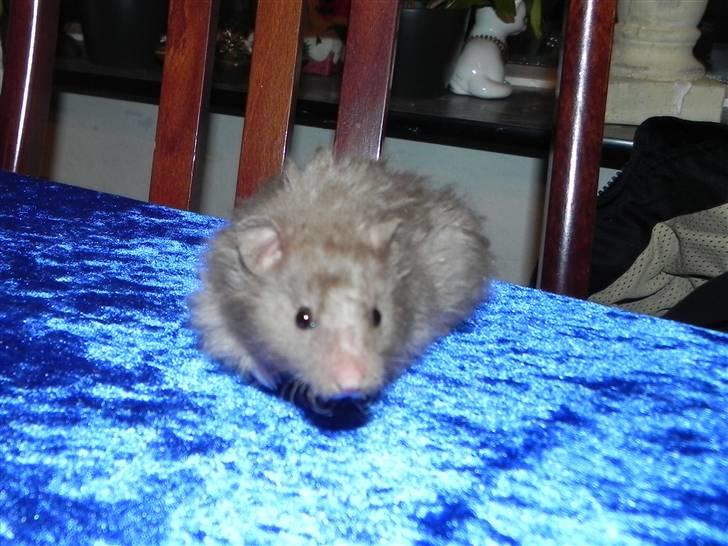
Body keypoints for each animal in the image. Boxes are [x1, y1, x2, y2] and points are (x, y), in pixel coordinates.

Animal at [191, 150, 492, 403]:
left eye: (377, 316)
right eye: (302, 318)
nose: (351, 385)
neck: (326, 225)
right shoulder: (215, 309)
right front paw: (271, 380)